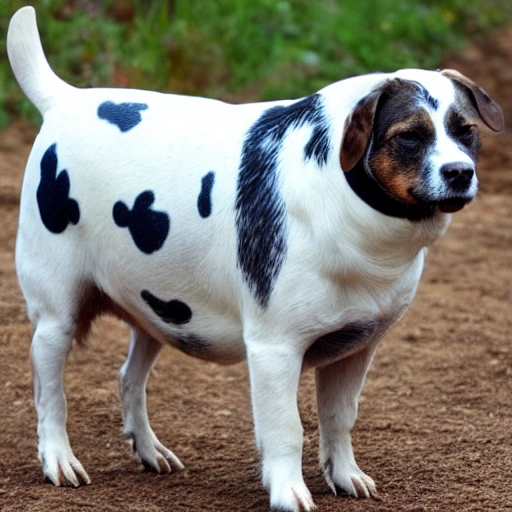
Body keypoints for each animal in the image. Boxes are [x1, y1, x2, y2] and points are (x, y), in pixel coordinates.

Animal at [7, 5, 504, 512]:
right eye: (409, 137)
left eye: (466, 131)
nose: (460, 173)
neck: (340, 194)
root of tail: (64, 100)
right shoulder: (274, 350)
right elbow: (287, 430)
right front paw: (288, 491)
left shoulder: (357, 348)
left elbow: (340, 418)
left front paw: (345, 475)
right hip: (55, 318)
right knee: (50, 395)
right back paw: (58, 459)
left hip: (158, 312)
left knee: (129, 379)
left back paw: (149, 450)